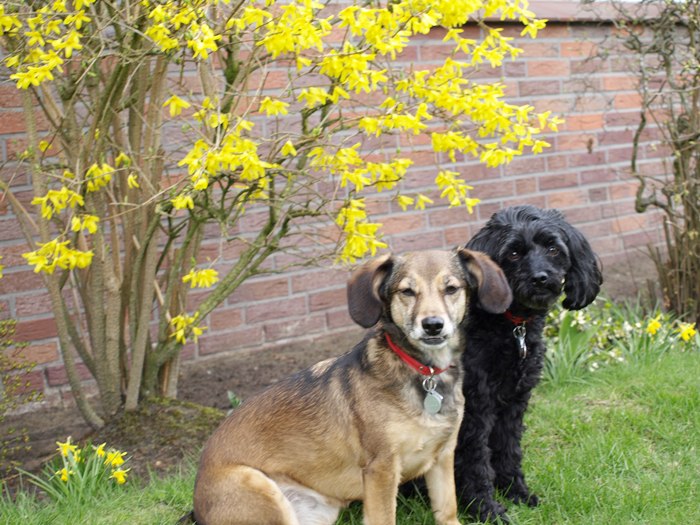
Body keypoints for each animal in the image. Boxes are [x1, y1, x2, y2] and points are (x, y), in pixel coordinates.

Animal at [191, 249, 508, 524]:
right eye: (406, 291)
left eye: (451, 288)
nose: (432, 325)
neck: (423, 372)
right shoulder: (381, 469)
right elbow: (385, 519)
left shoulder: (442, 458)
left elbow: (447, 511)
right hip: (259, 488)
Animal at [454, 206, 600, 520]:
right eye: (513, 253)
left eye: (553, 248)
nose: (540, 278)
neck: (511, 325)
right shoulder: (473, 408)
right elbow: (475, 459)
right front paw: (484, 509)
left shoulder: (514, 402)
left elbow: (508, 450)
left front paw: (516, 493)